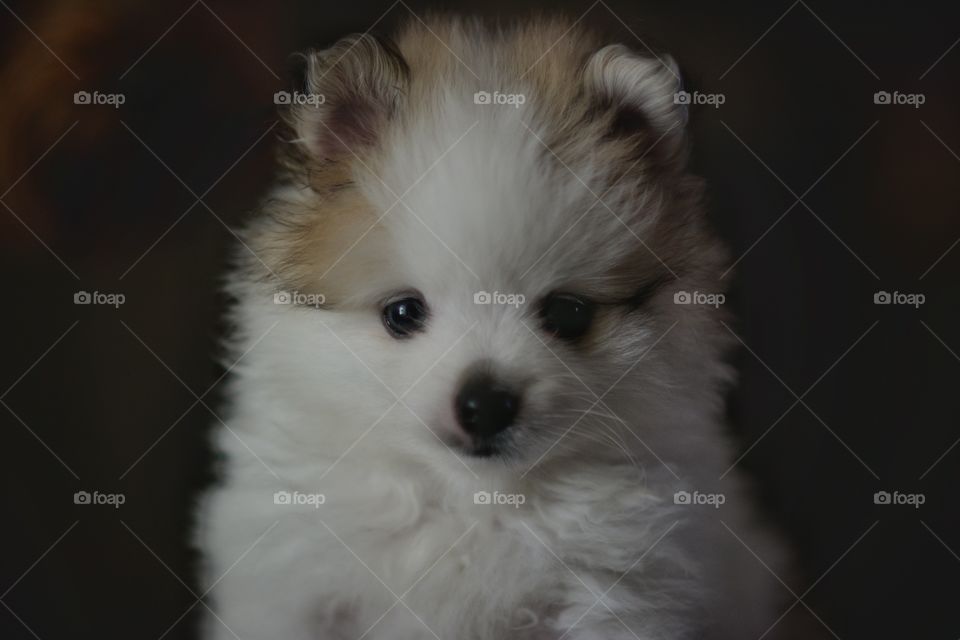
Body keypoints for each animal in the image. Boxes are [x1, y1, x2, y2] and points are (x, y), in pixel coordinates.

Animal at [197, 15, 796, 640]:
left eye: (567, 314)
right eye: (403, 313)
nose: (485, 404)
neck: (473, 499)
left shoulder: (614, 597)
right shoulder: (296, 587)